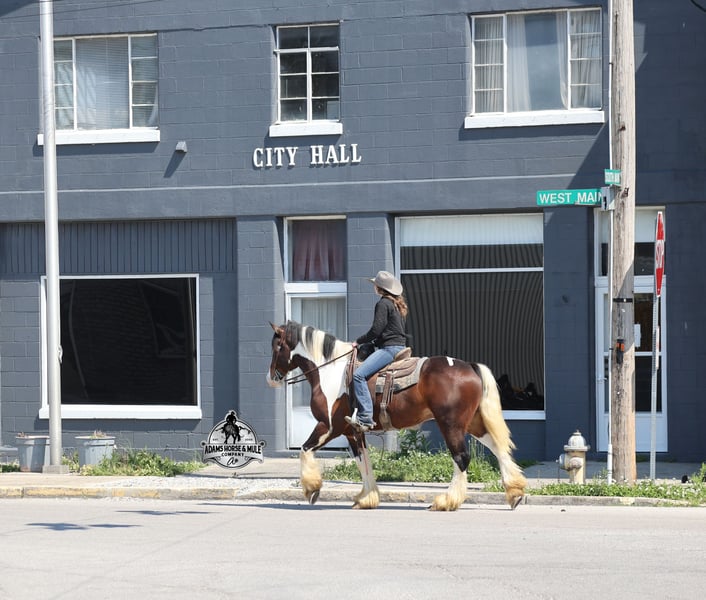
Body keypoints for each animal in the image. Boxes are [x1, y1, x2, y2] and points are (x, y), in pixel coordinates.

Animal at [266, 320, 527, 511]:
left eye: (277, 347)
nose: (271, 377)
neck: (331, 372)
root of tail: (469, 366)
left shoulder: (329, 426)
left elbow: (304, 449)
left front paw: (312, 489)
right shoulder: (353, 431)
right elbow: (363, 462)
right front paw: (367, 498)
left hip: (451, 424)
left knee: (461, 457)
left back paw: (447, 501)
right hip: (472, 423)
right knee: (498, 448)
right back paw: (514, 492)